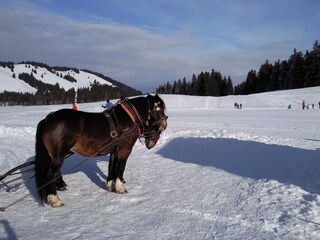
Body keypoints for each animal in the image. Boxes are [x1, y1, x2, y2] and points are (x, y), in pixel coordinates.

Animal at [34, 94, 168, 206]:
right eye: (158, 109)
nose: (165, 124)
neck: (129, 118)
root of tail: (48, 119)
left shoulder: (114, 151)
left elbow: (112, 167)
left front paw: (111, 186)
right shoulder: (125, 149)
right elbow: (120, 167)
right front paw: (120, 188)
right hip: (58, 155)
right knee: (52, 173)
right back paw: (55, 199)